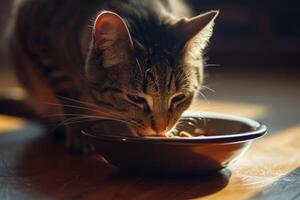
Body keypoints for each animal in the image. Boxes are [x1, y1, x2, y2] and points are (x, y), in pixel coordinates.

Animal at [9, 0, 218, 152]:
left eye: (179, 97)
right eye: (135, 98)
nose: (160, 129)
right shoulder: (40, 46)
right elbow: (68, 97)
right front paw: (78, 134)